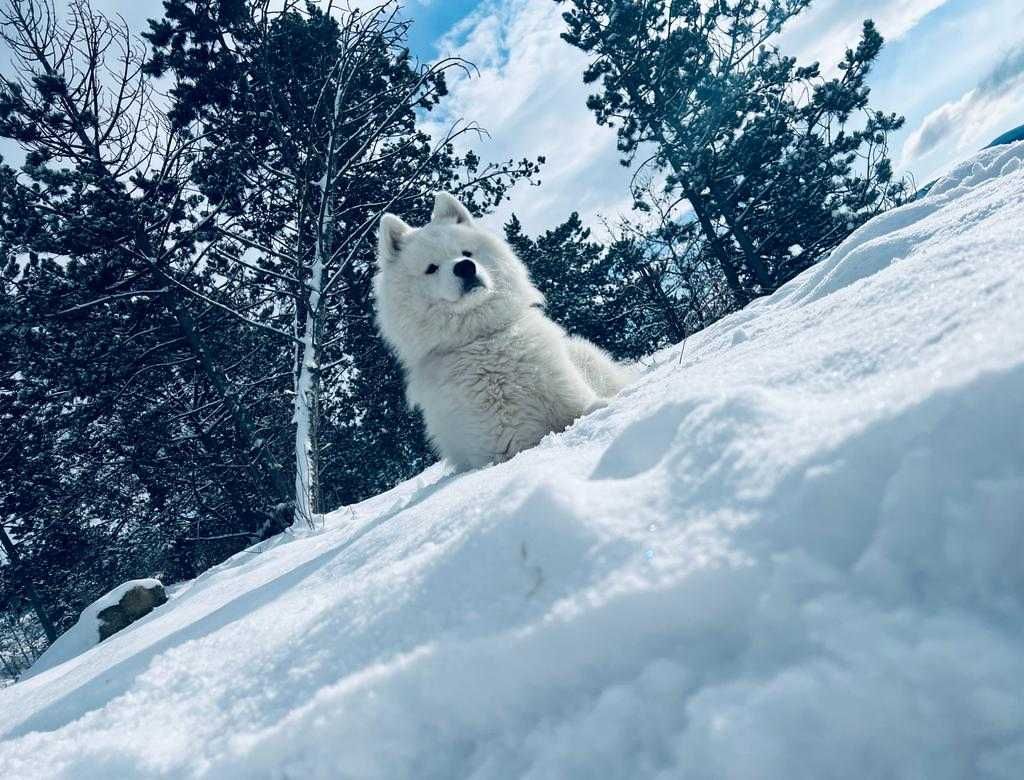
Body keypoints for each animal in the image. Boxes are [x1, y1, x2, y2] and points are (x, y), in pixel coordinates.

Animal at [372, 191, 634, 468]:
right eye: (431, 268)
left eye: (467, 252)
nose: (465, 267)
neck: (484, 340)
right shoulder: (506, 443)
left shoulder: (570, 396)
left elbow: (589, 407)